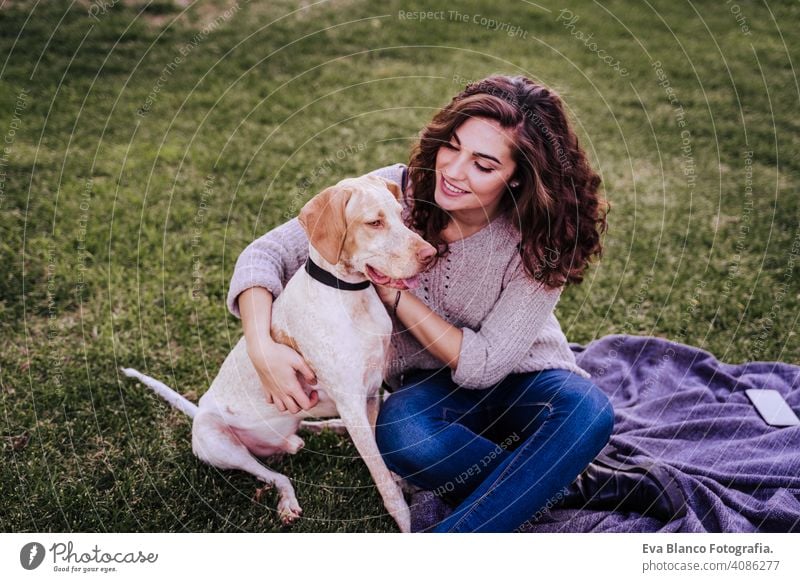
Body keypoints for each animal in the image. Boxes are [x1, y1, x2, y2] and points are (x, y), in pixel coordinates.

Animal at [122, 175, 438, 532]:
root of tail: (199, 409)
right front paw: (406, 519)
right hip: (218, 442)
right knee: (275, 476)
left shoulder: (371, 394)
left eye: (401, 214)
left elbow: (384, 461)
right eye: (374, 222)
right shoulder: (352, 402)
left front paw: (403, 481)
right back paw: (287, 497)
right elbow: (381, 476)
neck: (349, 296)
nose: (431, 254)